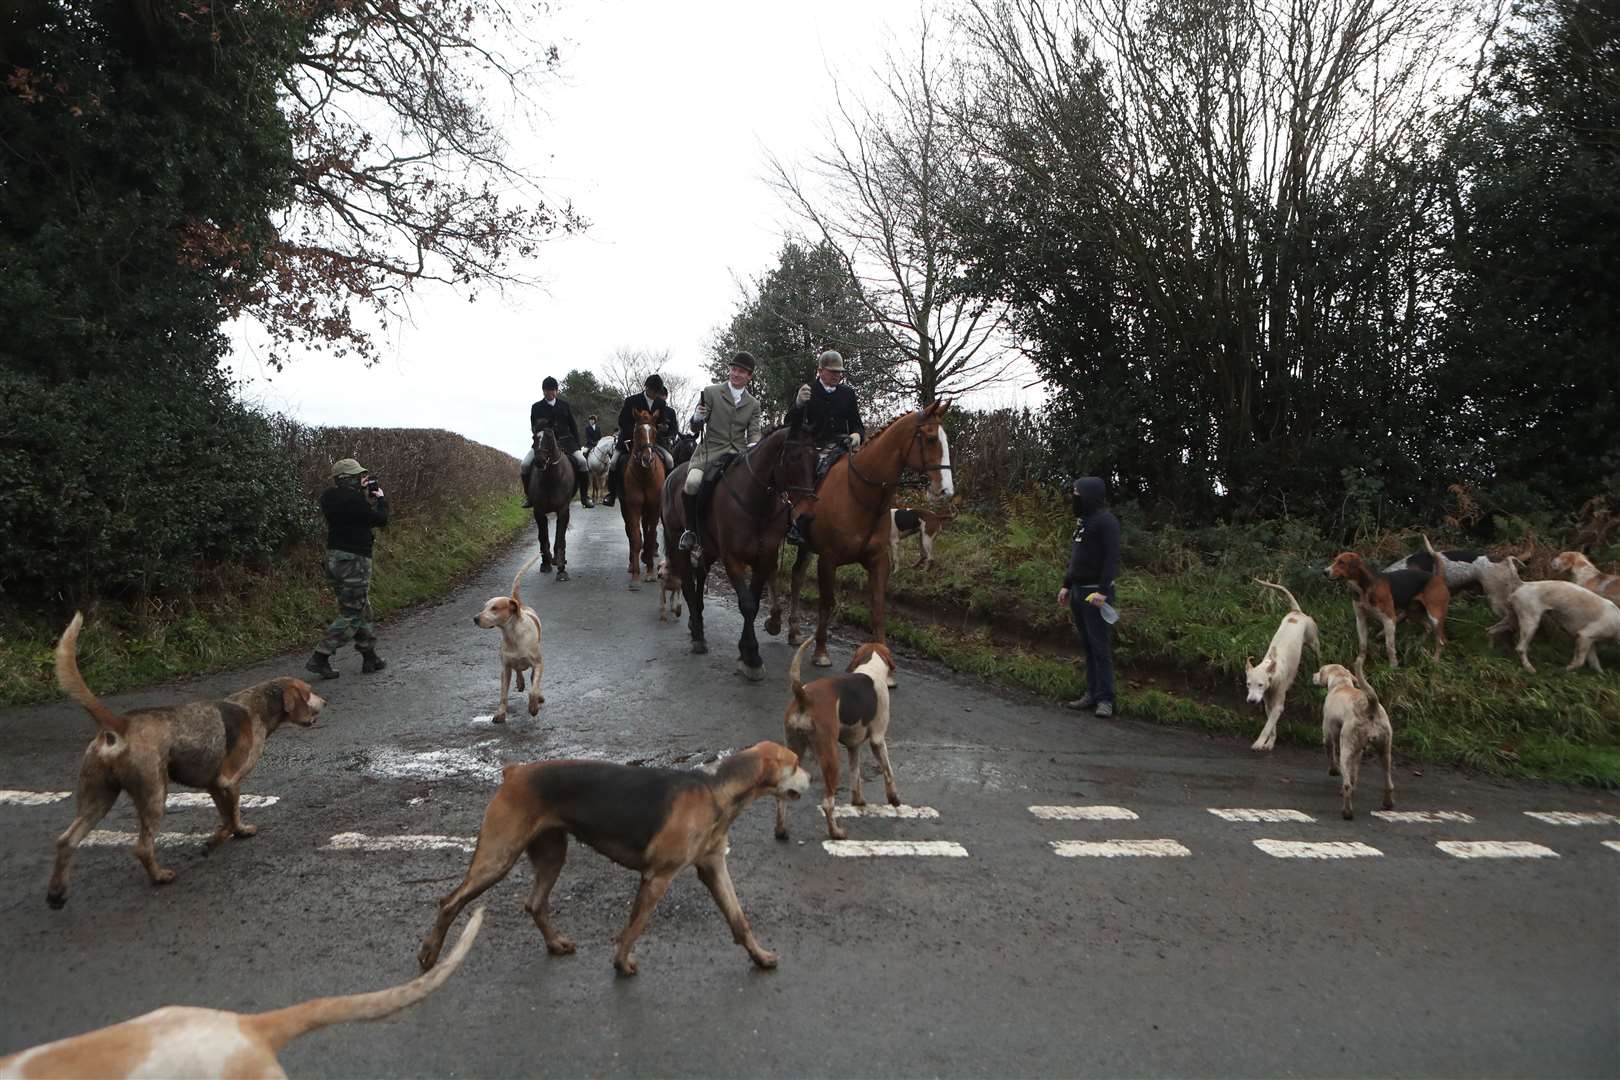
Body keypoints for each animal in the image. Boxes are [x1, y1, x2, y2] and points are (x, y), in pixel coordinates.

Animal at [524, 427, 576, 586]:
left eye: (549, 437)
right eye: (534, 438)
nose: (539, 461)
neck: (550, 479)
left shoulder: (563, 510)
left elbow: (559, 538)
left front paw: (561, 569)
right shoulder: (539, 511)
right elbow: (543, 536)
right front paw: (545, 562)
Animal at [657, 420, 816, 676]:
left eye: (817, 458)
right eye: (793, 458)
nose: (808, 515)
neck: (758, 503)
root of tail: (673, 474)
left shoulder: (764, 558)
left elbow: (754, 601)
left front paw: (746, 652)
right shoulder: (732, 558)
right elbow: (747, 604)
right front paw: (751, 656)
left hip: (709, 549)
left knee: (699, 578)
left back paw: (696, 621)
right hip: (677, 542)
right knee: (688, 584)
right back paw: (698, 635)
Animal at [784, 401, 946, 680]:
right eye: (930, 438)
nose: (944, 489)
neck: (861, 494)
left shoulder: (879, 560)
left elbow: (878, 608)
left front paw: (886, 667)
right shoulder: (828, 560)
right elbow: (826, 603)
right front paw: (821, 652)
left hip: (806, 547)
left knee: (797, 576)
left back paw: (794, 630)